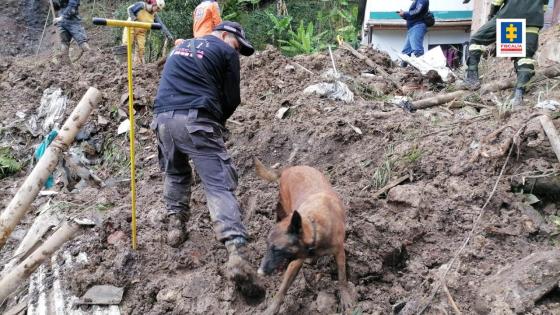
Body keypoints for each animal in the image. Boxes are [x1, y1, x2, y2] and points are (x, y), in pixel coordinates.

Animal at [255, 159, 352, 315]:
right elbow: (282, 289)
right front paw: (272, 308)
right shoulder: (295, 262)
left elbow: (342, 278)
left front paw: (345, 296)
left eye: (277, 249)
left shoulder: (339, 252)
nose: (260, 272)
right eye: (267, 246)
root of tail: (289, 169)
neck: (313, 227)